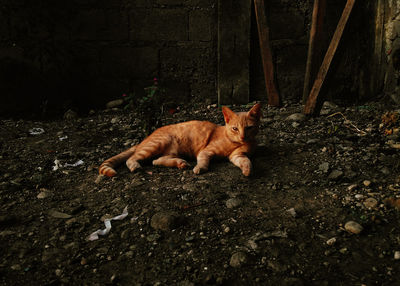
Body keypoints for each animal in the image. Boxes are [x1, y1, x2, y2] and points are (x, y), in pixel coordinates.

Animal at [99, 103, 262, 177]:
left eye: (249, 128)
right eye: (235, 128)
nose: (242, 136)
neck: (236, 143)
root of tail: (145, 138)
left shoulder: (237, 156)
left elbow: (245, 161)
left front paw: (248, 170)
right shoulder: (206, 151)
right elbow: (203, 160)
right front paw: (200, 168)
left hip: (171, 150)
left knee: (156, 161)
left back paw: (180, 163)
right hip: (158, 143)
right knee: (132, 158)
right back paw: (135, 166)